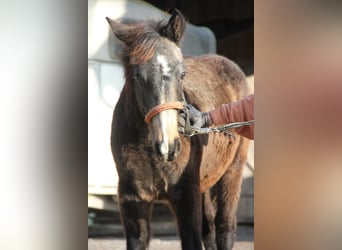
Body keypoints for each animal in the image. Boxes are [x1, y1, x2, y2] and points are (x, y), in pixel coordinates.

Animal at [105, 9, 250, 250]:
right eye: (136, 76)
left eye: (182, 74)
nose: (168, 146)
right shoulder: (132, 198)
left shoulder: (185, 196)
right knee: (209, 230)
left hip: (232, 172)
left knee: (225, 229)